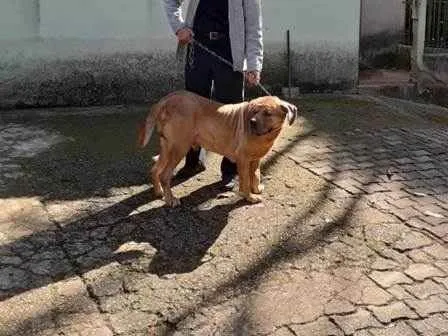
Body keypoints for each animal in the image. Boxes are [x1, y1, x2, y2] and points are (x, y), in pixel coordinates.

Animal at [137, 91, 298, 207]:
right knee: (164, 175)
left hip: (167, 147)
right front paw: (249, 197)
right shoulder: (243, 160)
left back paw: (159, 192)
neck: (265, 136)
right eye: (254, 111)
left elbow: (256, 174)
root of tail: (167, 99)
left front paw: (256, 189)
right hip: (179, 148)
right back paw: (171, 200)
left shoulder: (255, 159)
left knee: (155, 170)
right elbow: (245, 180)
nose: (252, 122)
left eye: (267, 113)